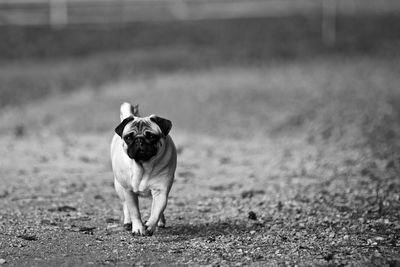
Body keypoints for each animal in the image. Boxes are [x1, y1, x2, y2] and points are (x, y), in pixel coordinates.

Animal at [111, 102, 177, 237]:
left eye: (151, 136)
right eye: (128, 137)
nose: (139, 139)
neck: (143, 166)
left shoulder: (160, 191)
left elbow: (156, 211)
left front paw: (150, 225)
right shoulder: (129, 192)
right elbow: (134, 212)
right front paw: (137, 228)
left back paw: (160, 222)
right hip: (119, 187)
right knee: (125, 205)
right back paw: (127, 222)